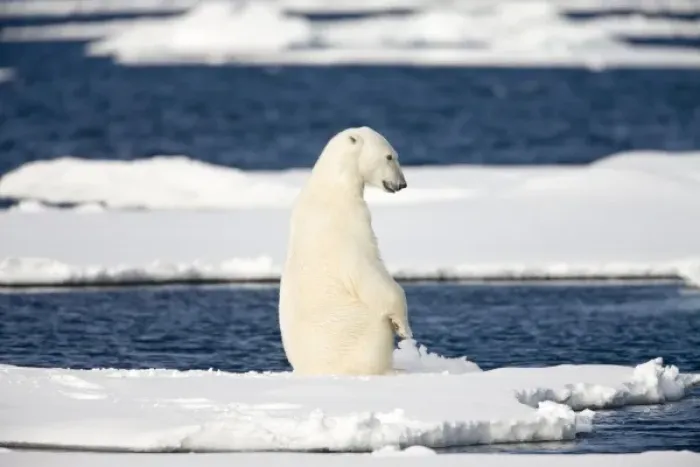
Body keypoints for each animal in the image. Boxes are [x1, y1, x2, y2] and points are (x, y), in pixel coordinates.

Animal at [278, 126, 413, 376]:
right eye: (390, 156)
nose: (402, 184)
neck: (332, 187)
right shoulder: (348, 224)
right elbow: (370, 275)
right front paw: (403, 328)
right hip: (359, 335)